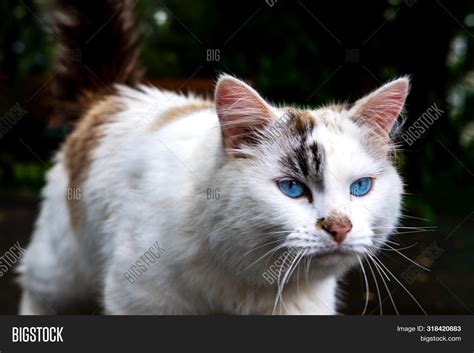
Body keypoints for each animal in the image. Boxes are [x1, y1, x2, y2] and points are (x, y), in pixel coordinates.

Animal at [15, 0, 408, 314]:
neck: (244, 282)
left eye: (361, 187)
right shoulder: (138, 301)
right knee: (35, 288)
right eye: (292, 189)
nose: (341, 227)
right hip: (64, 269)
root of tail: (117, 94)